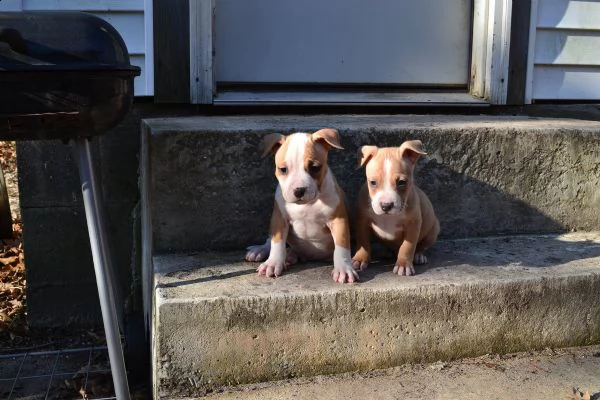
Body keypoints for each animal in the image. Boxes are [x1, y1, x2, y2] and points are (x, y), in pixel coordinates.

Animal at [245, 130, 358, 282]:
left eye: (315, 168)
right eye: (283, 169)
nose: (299, 190)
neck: (308, 204)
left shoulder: (338, 220)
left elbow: (342, 246)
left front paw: (344, 270)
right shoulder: (279, 219)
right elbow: (277, 242)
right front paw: (273, 263)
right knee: (271, 239)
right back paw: (263, 251)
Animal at [352, 140, 440, 276]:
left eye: (402, 182)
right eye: (372, 182)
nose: (386, 205)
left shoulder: (413, 225)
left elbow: (407, 246)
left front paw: (403, 265)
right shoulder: (362, 221)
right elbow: (363, 241)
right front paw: (360, 259)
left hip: (433, 230)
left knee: (421, 246)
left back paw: (419, 256)